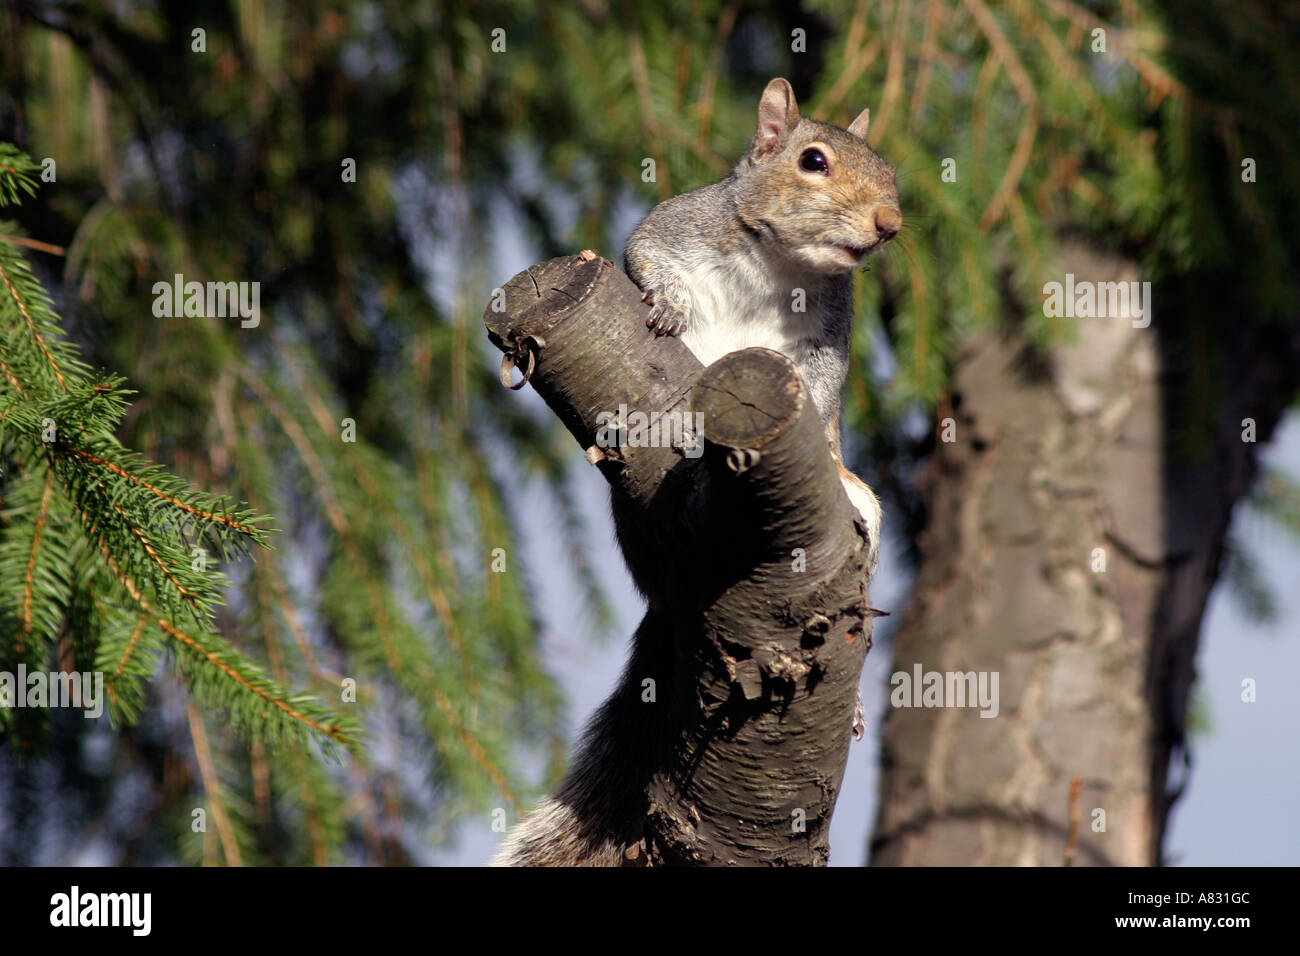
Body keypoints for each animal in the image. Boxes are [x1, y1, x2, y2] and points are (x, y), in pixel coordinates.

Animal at [491, 78, 899, 863]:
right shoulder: (679, 226)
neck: (785, 266)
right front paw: (670, 306)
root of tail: (666, 602)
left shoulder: (830, 334)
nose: (890, 223)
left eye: (888, 167)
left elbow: (823, 389)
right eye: (812, 160)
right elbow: (643, 252)